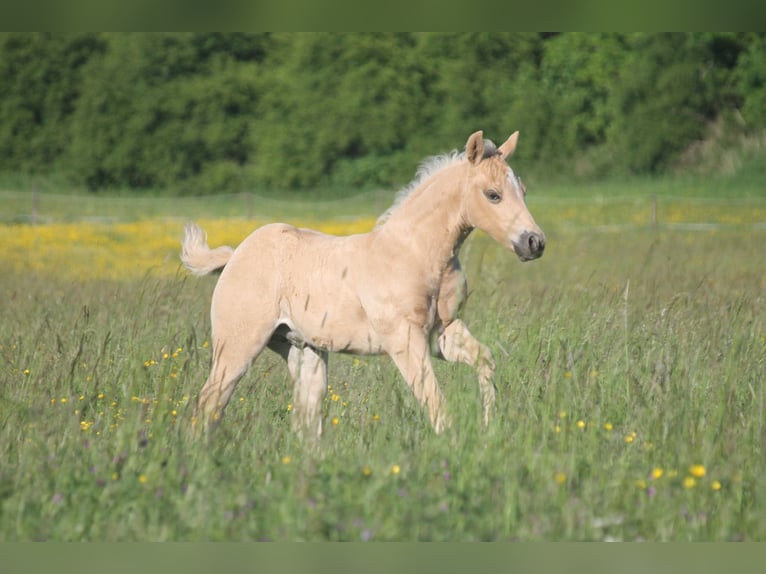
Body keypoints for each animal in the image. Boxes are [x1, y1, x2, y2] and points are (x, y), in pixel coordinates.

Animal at [181, 130, 545, 437]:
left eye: (524, 191)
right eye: (493, 195)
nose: (535, 243)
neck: (415, 253)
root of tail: (235, 256)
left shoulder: (443, 333)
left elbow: (485, 361)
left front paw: (489, 427)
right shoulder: (404, 341)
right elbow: (436, 403)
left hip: (303, 350)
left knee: (305, 419)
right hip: (238, 346)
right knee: (209, 403)